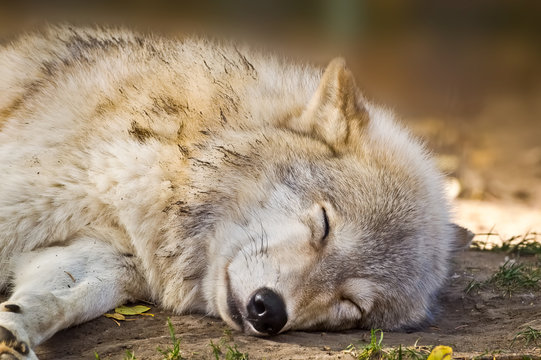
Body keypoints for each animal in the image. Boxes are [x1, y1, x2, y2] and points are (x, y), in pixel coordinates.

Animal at [0, 26, 468, 360]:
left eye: (351, 305)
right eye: (324, 225)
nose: (269, 311)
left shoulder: (106, 257)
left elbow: (51, 302)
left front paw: (14, 332)